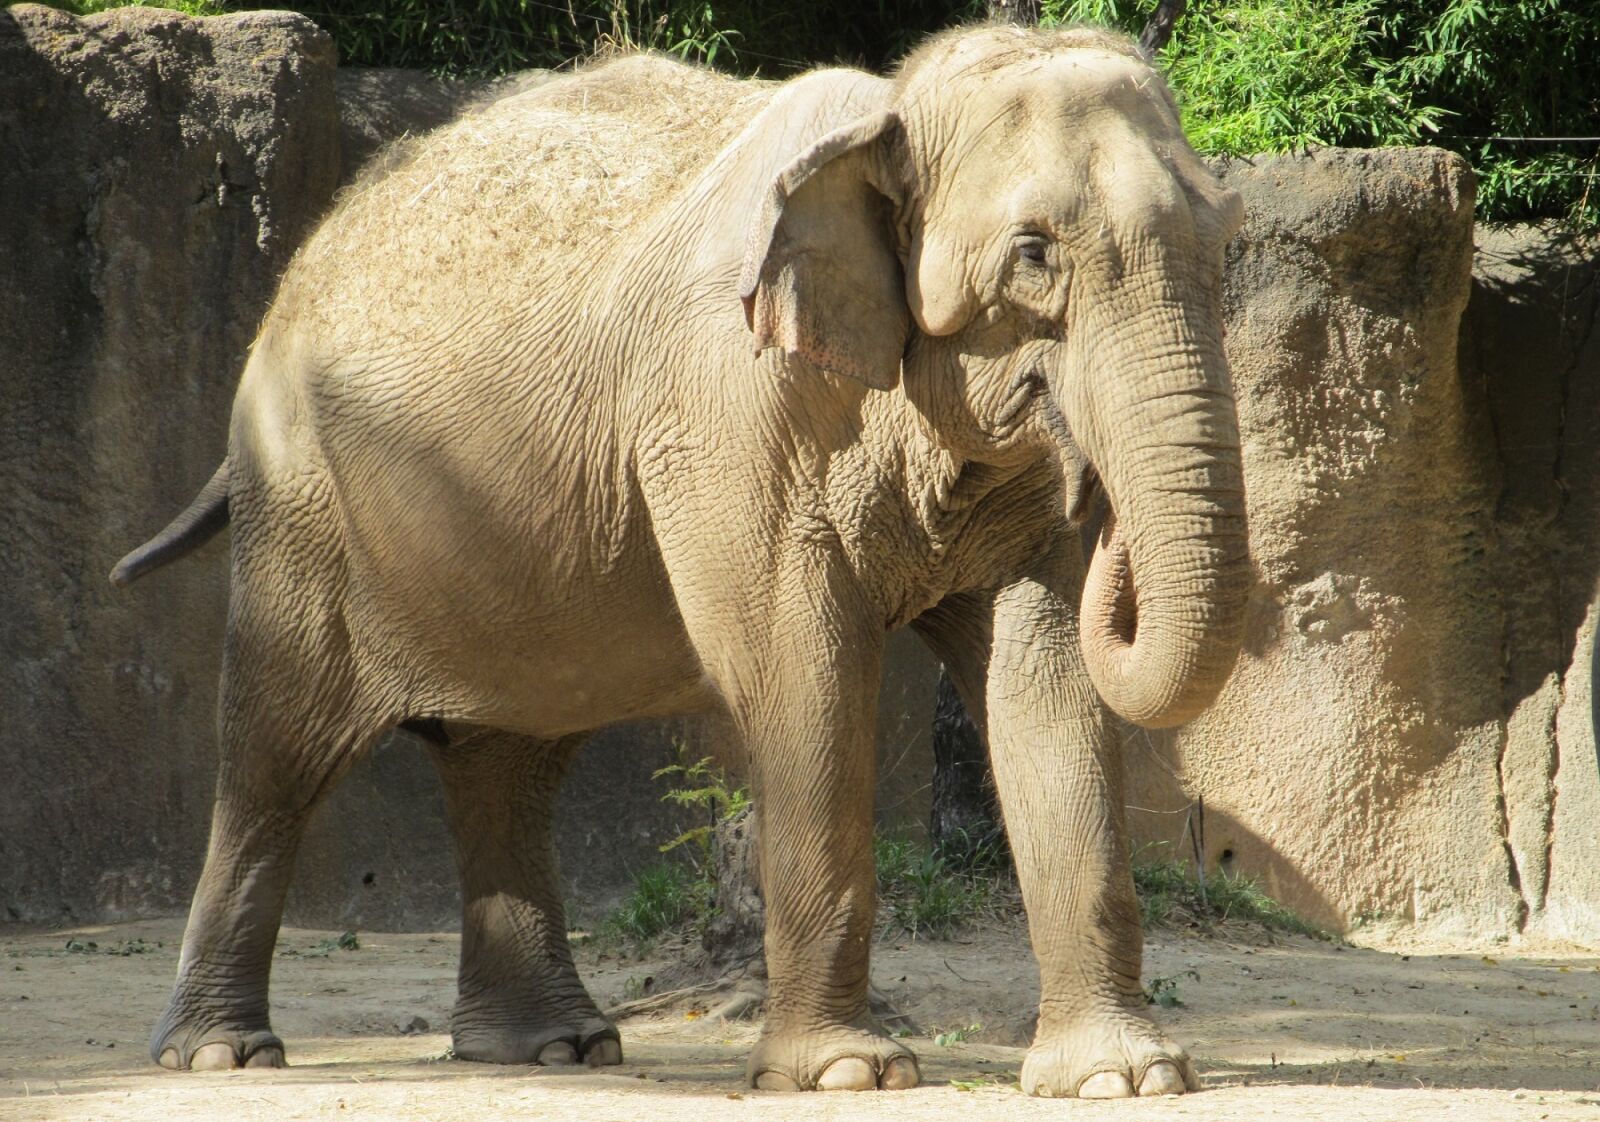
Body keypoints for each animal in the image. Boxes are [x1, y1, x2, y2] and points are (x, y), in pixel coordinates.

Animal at [112, 22, 1248, 1098]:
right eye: (1033, 255)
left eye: (1226, 244)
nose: (1097, 499)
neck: (890, 110)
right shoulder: (725, 412)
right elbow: (804, 669)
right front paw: (846, 1075)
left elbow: (1044, 678)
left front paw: (1125, 1077)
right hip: (298, 499)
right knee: (277, 750)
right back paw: (222, 1054)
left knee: (507, 754)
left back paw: (552, 1050)